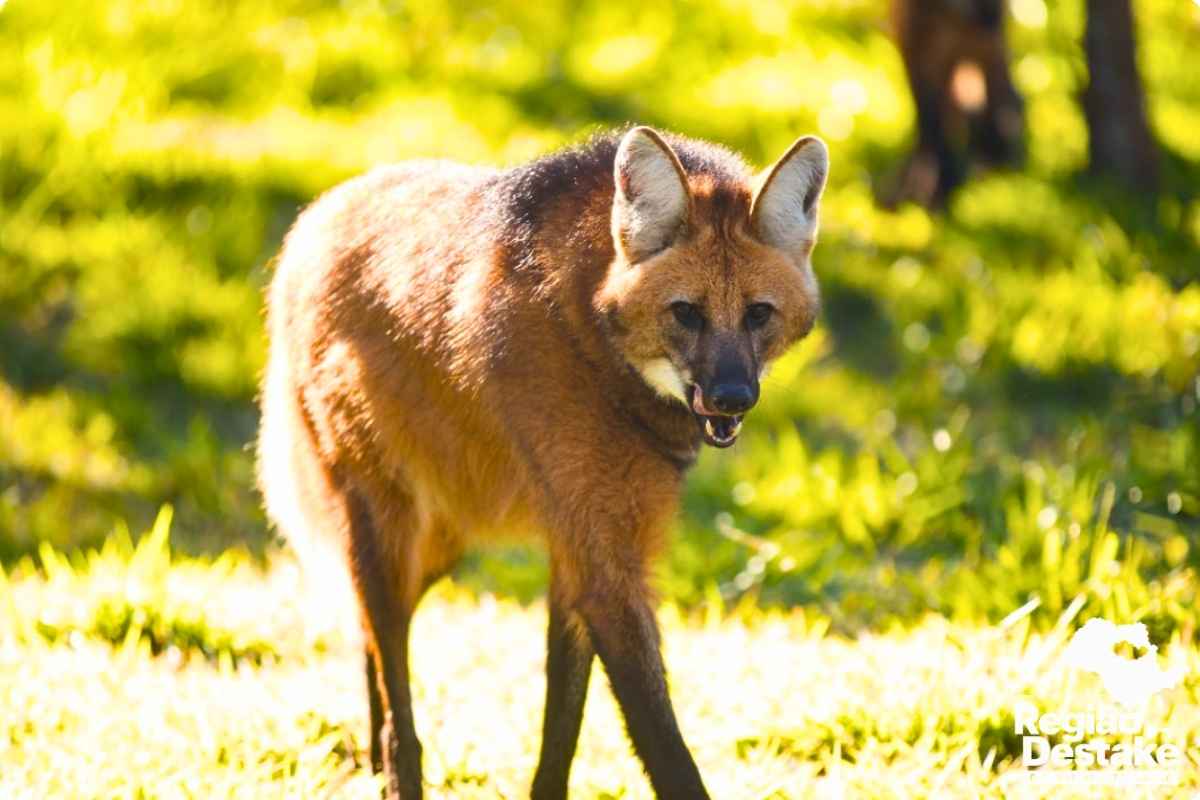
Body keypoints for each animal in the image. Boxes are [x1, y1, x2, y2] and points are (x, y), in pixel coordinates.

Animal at [257, 125, 828, 799]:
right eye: (686, 312)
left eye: (758, 313)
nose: (732, 397)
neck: (594, 339)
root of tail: (316, 217)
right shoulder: (604, 561)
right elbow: (664, 747)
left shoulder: (577, 546)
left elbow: (563, 721)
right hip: (387, 522)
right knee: (392, 668)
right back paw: (396, 768)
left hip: (442, 538)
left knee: (367, 629)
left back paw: (372, 757)